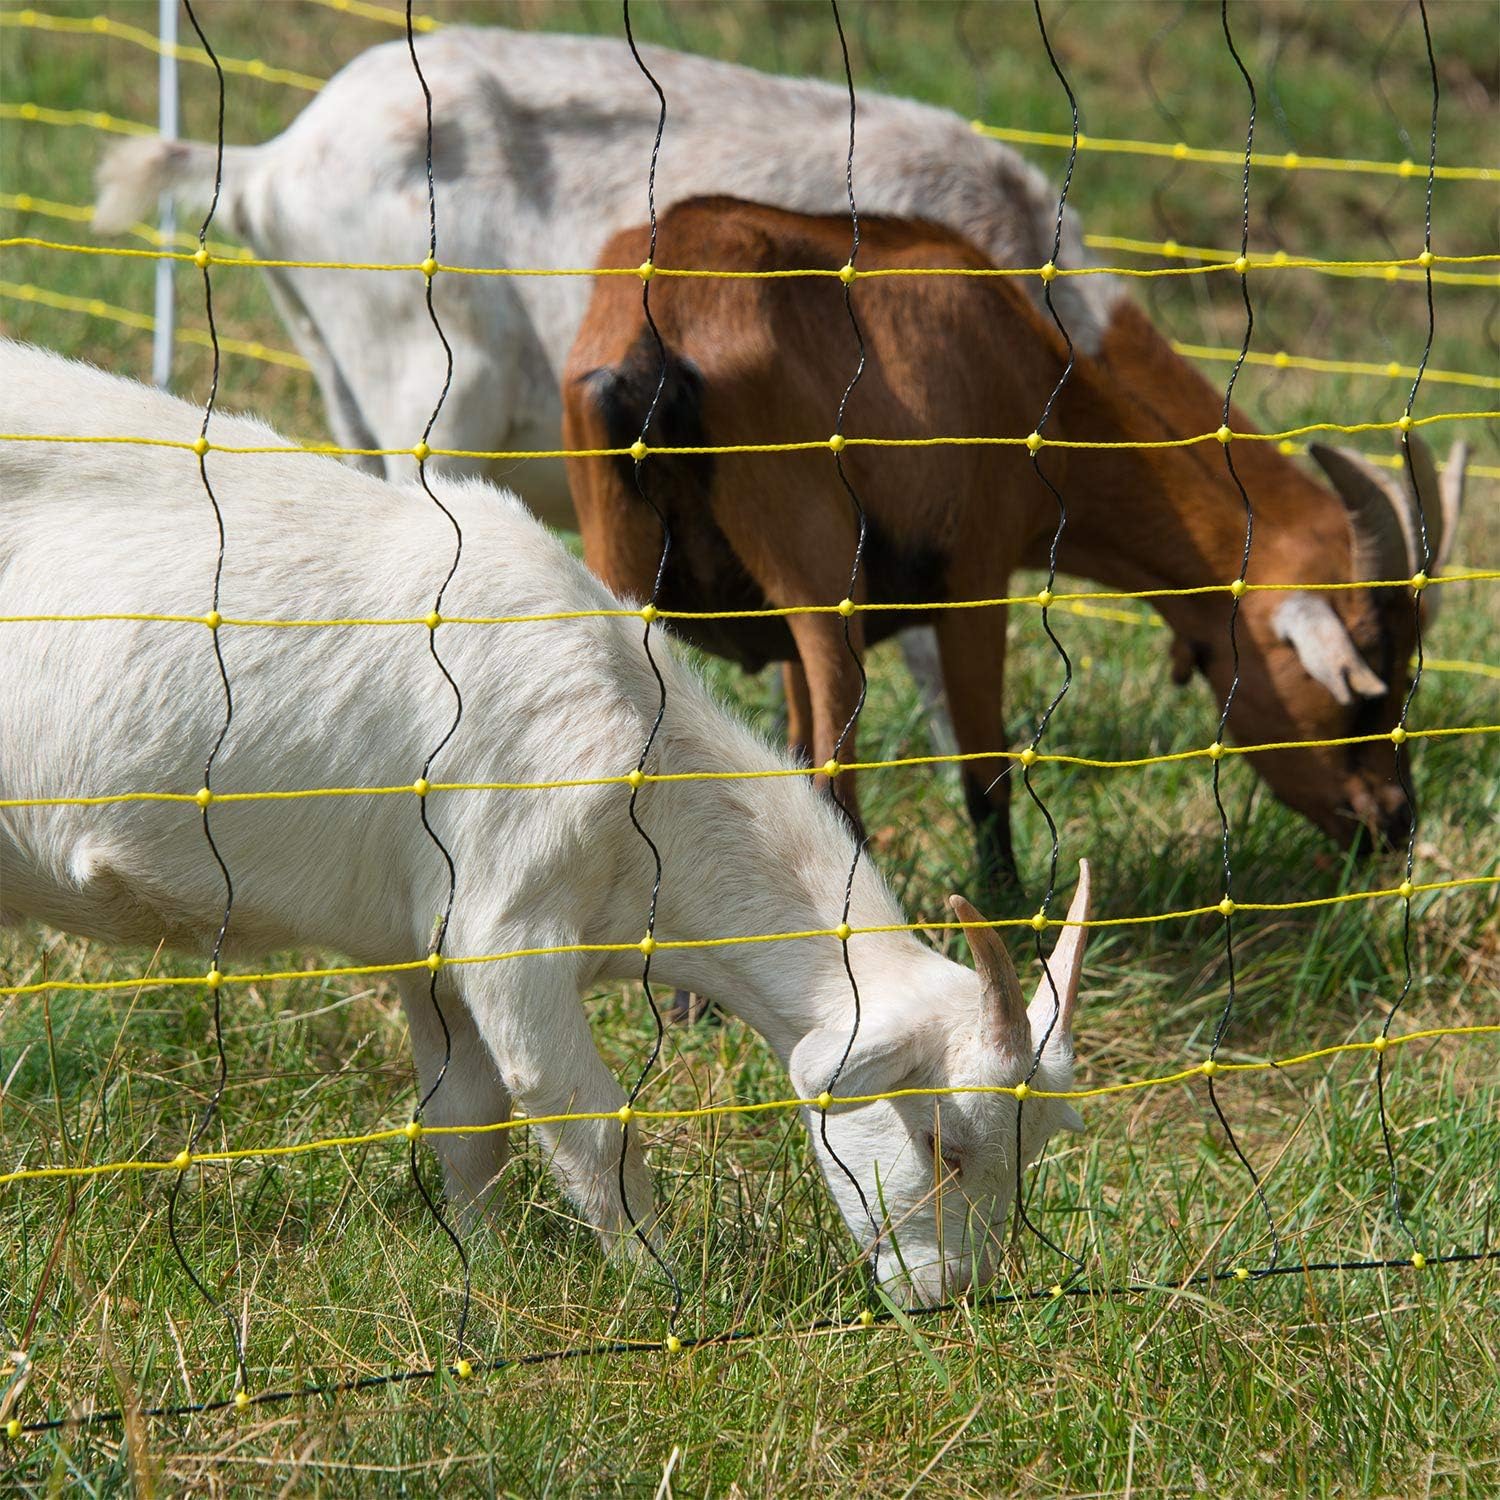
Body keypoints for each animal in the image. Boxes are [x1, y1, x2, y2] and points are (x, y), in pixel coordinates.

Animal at [0, 341, 1093, 1306]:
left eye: (1030, 1152)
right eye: (943, 1142)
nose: (949, 1294)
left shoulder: (429, 950)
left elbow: (469, 1123)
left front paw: (482, 1270)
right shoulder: (507, 928)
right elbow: (593, 1123)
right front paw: (669, 1294)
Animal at [561, 199, 1468, 876]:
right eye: (1365, 686)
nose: (1395, 824)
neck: (1028, 372)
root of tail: (657, 335)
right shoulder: (976, 574)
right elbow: (985, 777)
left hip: (626, 563)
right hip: (818, 571)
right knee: (835, 776)